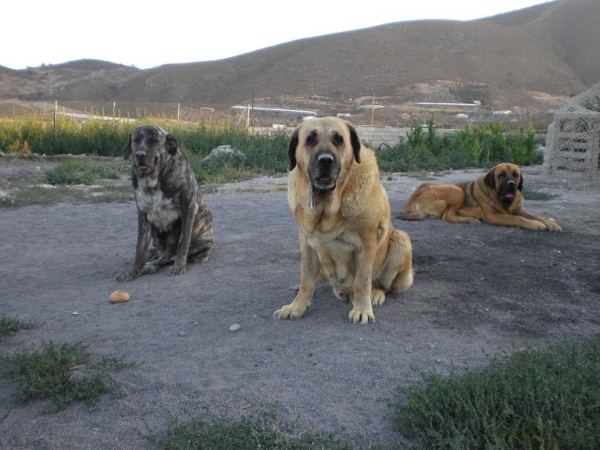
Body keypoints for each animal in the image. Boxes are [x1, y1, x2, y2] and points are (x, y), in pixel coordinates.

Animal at [115, 125, 213, 282]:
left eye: (154, 140)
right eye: (136, 140)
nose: (140, 154)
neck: (152, 180)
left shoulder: (189, 208)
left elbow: (183, 243)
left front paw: (179, 265)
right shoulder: (142, 214)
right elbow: (139, 248)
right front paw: (132, 271)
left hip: (202, 244)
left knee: (168, 257)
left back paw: (151, 266)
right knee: (158, 254)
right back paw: (150, 259)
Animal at [398, 163, 564, 232]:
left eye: (515, 175)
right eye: (501, 175)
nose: (511, 184)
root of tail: (412, 198)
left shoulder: (521, 210)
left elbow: (537, 216)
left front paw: (551, 224)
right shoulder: (494, 216)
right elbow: (517, 219)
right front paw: (535, 225)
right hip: (457, 191)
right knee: (447, 216)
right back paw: (470, 219)